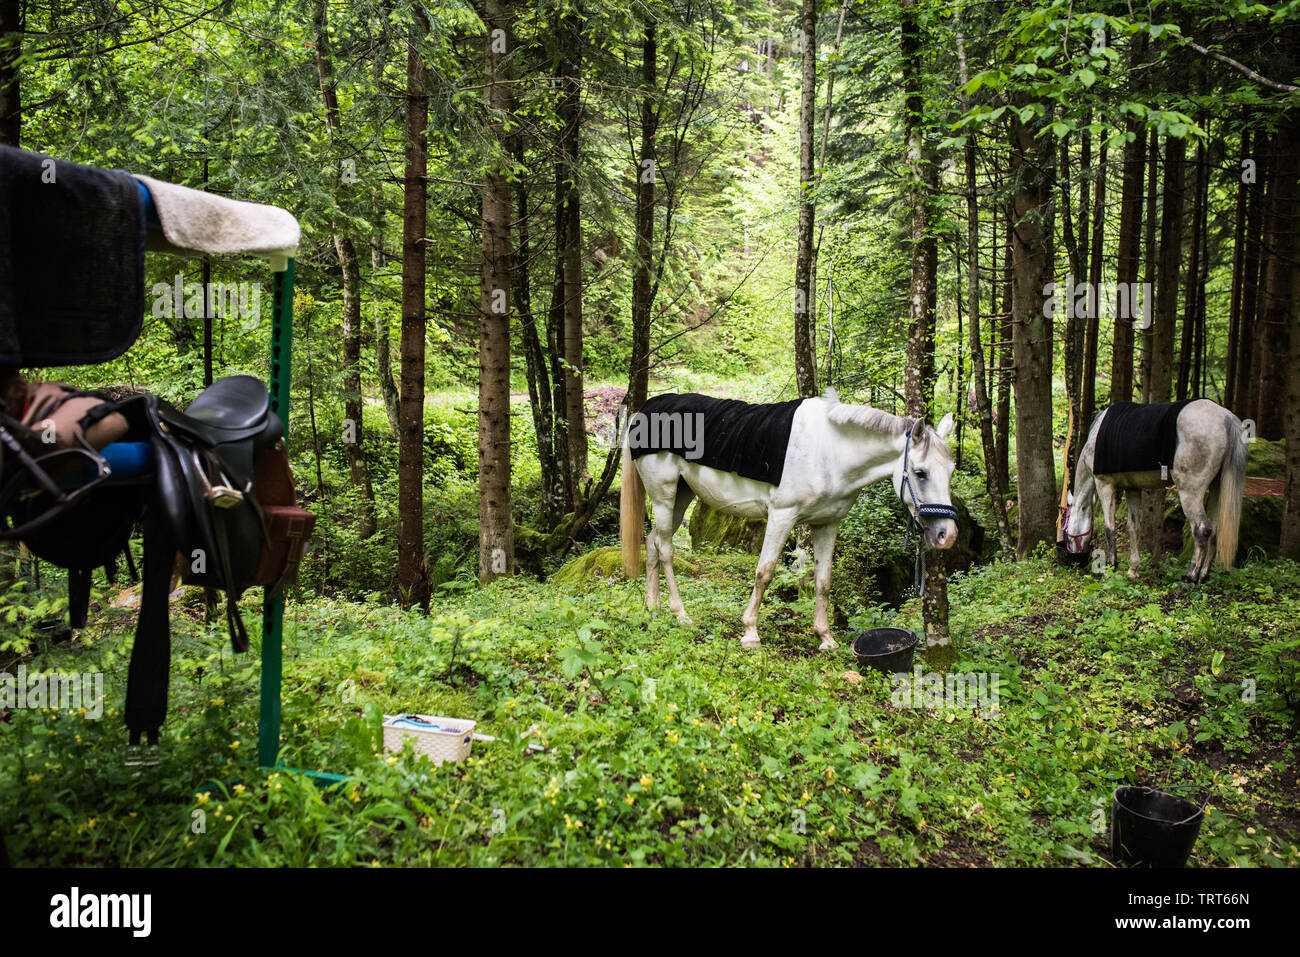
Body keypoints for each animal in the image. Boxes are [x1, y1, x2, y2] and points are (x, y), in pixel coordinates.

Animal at [618, 390, 956, 650]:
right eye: (920, 472)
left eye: (951, 471)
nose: (947, 535)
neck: (830, 451)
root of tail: (643, 412)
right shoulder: (782, 516)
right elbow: (764, 572)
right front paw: (750, 633)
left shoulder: (827, 524)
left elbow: (823, 580)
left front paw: (825, 638)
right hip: (664, 495)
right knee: (665, 550)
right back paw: (680, 613)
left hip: (681, 495)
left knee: (652, 542)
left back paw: (652, 607)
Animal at [1066, 397, 1248, 582]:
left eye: (1066, 530)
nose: (1074, 560)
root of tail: (1225, 416)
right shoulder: (1132, 489)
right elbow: (1133, 527)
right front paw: (1133, 568)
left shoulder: (1104, 484)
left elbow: (1109, 528)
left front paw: (1110, 567)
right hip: (1216, 490)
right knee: (1214, 531)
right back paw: (1203, 575)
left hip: (1190, 493)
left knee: (1202, 530)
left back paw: (1190, 577)